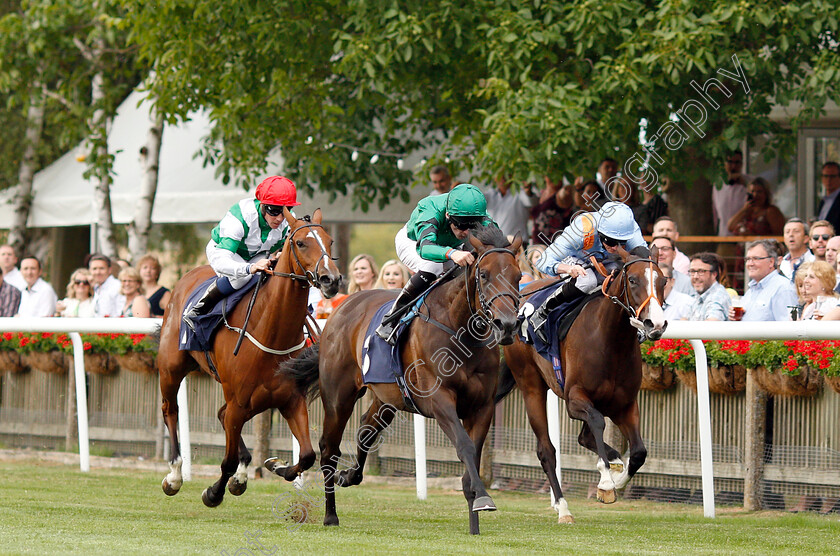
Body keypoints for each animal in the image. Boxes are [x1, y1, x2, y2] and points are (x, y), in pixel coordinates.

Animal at [158, 206, 342, 506]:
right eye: (300, 243)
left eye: (330, 241)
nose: (331, 279)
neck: (270, 332)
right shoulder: (239, 400)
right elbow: (227, 461)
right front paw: (213, 492)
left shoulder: (290, 398)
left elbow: (307, 455)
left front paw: (275, 466)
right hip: (171, 368)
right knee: (170, 409)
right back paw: (174, 474)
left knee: (221, 414)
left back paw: (243, 472)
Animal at [278, 226, 520, 536]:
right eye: (485, 275)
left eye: (518, 276)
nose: (508, 324)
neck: (461, 331)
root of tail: (341, 308)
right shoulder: (439, 400)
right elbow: (464, 446)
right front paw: (484, 499)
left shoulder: (482, 407)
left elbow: (472, 458)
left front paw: (475, 518)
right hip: (338, 396)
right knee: (329, 450)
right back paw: (330, 514)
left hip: (386, 398)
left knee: (366, 430)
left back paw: (348, 475)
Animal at [496, 248, 668, 520]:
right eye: (632, 280)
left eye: (663, 282)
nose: (656, 324)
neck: (612, 341)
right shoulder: (575, 399)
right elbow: (597, 422)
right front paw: (607, 483)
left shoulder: (625, 405)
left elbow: (639, 452)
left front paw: (616, 479)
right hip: (531, 385)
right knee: (547, 450)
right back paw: (563, 507)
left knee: (585, 438)